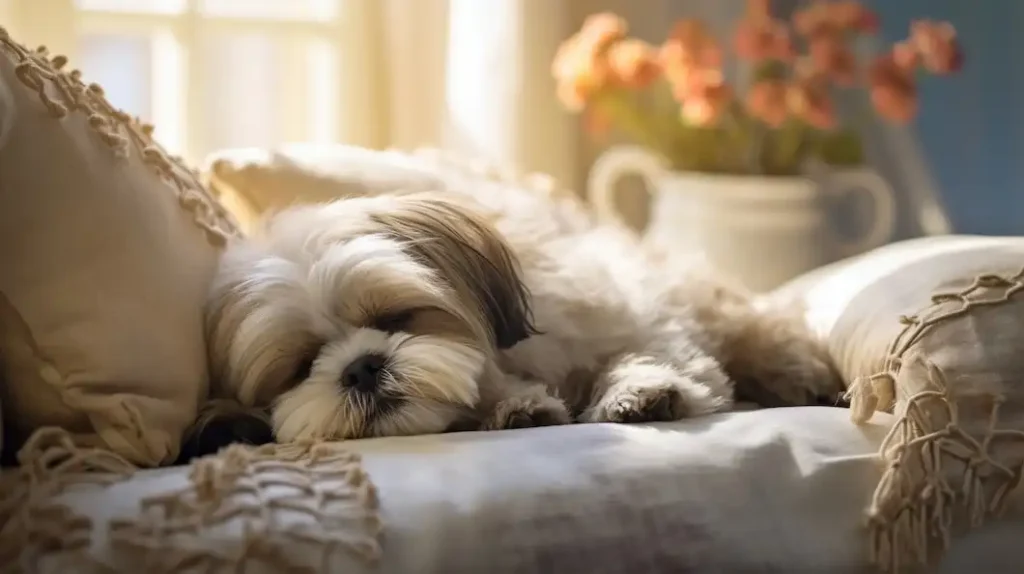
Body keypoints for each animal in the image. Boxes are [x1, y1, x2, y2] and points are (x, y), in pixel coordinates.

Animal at [182, 173, 839, 456]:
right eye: (299, 368)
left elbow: (644, 350)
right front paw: (519, 408)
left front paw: (639, 389)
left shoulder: (628, 311)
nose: (361, 367)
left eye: (396, 317)